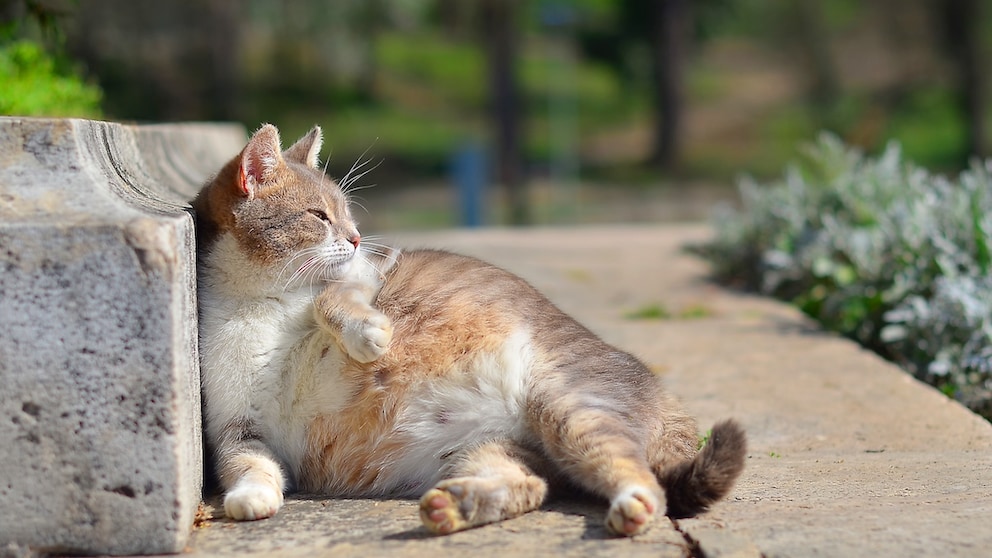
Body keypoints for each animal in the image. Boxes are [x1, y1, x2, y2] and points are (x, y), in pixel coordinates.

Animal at [194, 123, 744, 540]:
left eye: (348, 214)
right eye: (317, 215)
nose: (355, 237)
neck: (260, 304)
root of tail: (665, 397)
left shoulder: (367, 274)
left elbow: (334, 300)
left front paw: (369, 336)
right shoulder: (238, 430)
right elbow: (251, 467)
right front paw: (250, 499)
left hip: (571, 408)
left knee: (645, 482)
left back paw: (632, 507)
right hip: (487, 450)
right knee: (532, 485)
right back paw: (455, 507)